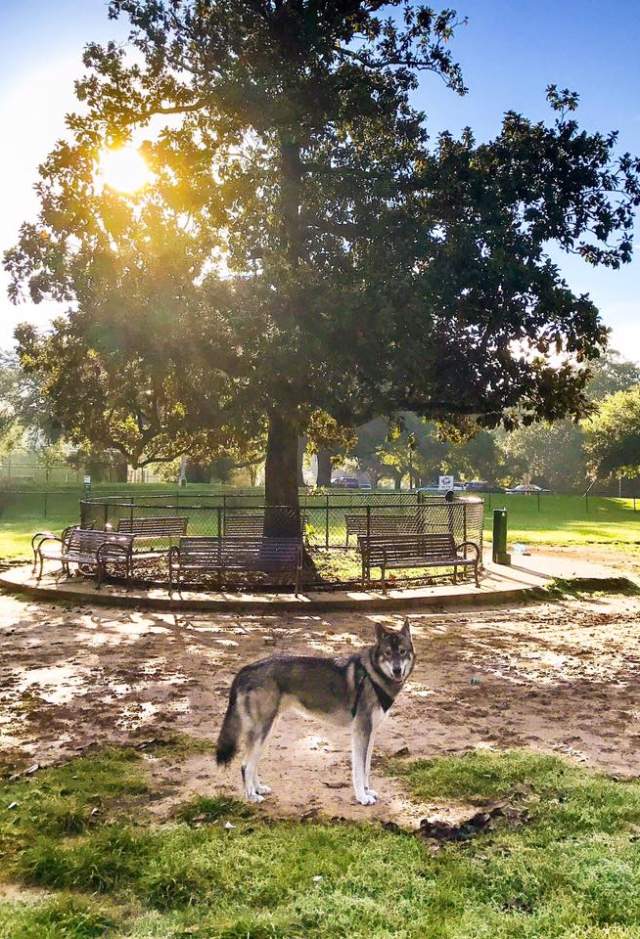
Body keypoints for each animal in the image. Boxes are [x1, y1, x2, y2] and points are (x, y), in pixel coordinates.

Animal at [215, 620, 416, 804]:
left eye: (402, 651)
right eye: (388, 653)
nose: (397, 670)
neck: (373, 674)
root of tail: (245, 669)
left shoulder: (371, 733)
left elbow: (366, 768)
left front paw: (367, 791)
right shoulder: (361, 732)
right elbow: (358, 770)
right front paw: (362, 797)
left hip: (267, 731)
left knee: (252, 763)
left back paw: (258, 789)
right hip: (262, 731)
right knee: (245, 765)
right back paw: (251, 796)